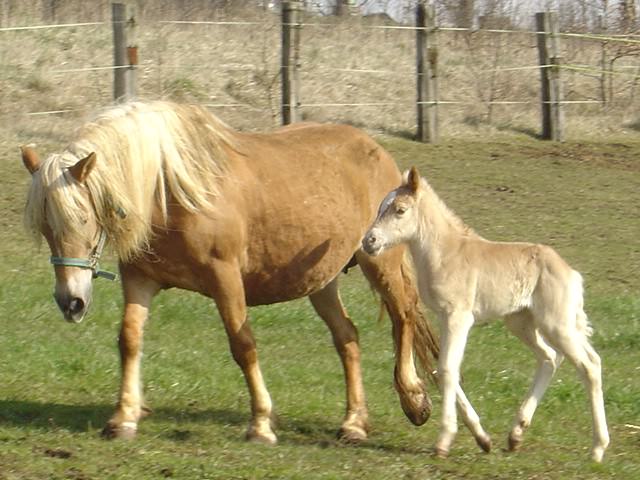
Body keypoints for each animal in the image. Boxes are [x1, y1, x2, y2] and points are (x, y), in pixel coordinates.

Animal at [21, 100, 440, 442]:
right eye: (45, 227)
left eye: (84, 218)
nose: (70, 302)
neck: (170, 193)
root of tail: (378, 152)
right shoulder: (140, 279)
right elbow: (129, 340)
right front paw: (123, 417)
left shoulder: (225, 279)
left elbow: (243, 346)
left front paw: (261, 424)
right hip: (321, 281)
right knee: (348, 338)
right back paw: (353, 423)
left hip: (380, 262)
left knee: (403, 317)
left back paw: (413, 397)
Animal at [362, 168, 608, 462]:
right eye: (380, 207)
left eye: (400, 209)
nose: (369, 241)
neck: (446, 252)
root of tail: (571, 273)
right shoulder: (445, 318)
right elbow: (442, 368)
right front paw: (482, 438)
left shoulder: (459, 317)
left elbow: (447, 368)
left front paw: (444, 441)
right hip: (522, 322)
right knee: (550, 358)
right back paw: (516, 435)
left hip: (556, 325)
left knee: (589, 365)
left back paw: (597, 448)